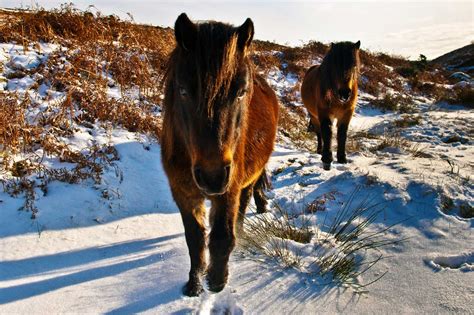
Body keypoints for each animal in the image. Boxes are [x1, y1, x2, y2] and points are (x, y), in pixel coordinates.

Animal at [161, 13, 280, 298]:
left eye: (241, 92)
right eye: (183, 90)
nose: (212, 176)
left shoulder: (229, 189)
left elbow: (222, 236)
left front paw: (216, 280)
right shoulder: (183, 192)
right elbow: (195, 239)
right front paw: (194, 285)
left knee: (244, 204)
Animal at [302, 42, 362, 172]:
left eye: (354, 66)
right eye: (335, 67)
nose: (345, 93)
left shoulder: (347, 113)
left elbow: (342, 133)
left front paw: (342, 158)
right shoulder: (324, 113)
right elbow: (327, 132)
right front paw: (327, 160)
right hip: (313, 115)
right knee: (319, 133)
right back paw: (320, 150)